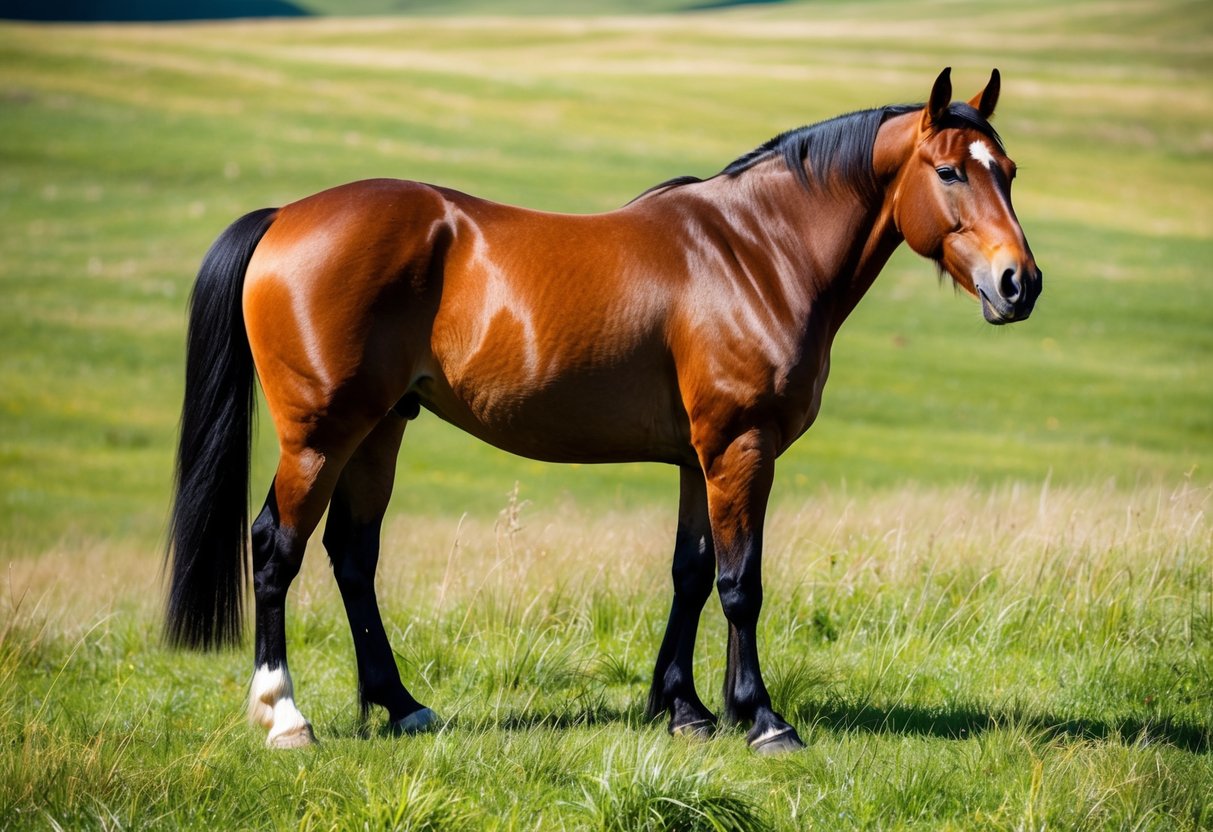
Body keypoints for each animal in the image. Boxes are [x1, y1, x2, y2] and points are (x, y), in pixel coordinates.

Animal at [166, 66, 1043, 756]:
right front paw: (760, 718)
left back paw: (403, 706)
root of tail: (285, 216)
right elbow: (740, 583)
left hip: (381, 428)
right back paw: (285, 716)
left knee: (353, 557)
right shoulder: (740, 447)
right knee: (275, 548)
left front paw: (683, 707)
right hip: (320, 436)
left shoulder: (699, 456)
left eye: (1005, 169)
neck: (755, 252)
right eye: (949, 172)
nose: (1019, 284)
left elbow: (691, 574)